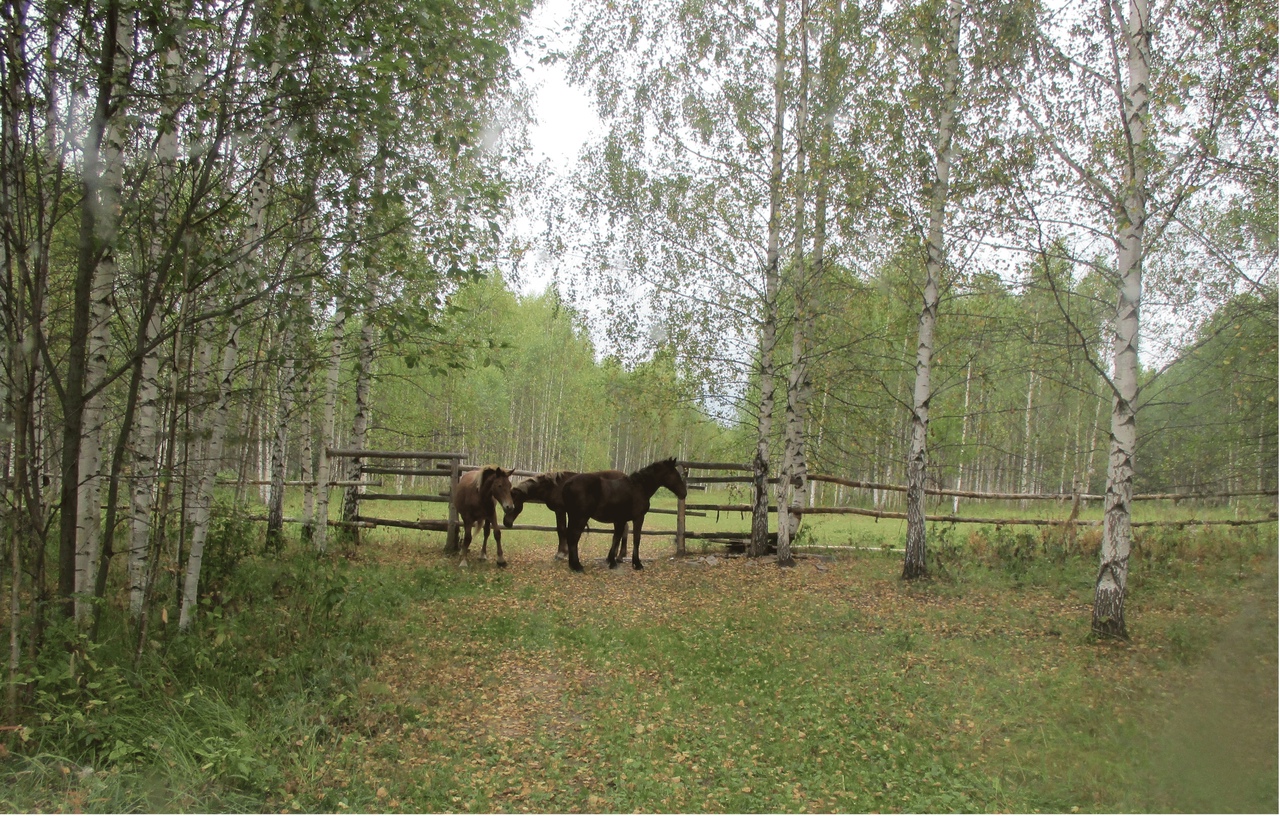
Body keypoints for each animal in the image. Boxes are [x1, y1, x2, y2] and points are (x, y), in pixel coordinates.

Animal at [558, 460, 686, 575]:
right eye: (675, 475)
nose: (684, 493)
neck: (639, 488)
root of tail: (568, 483)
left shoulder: (620, 520)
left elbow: (616, 538)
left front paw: (612, 561)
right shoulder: (638, 518)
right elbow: (636, 539)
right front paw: (637, 564)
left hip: (574, 516)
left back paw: (573, 565)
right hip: (580, 517)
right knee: (574, 537)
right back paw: (577, 566)